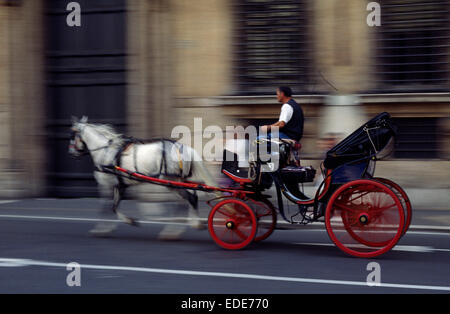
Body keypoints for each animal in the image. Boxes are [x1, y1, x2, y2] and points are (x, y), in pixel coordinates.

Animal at [67, 116, 219, 238]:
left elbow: (106, 208)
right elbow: (114, 207)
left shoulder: (105, 185)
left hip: (171, 181)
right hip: (178, 181)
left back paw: (187, 226)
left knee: (190, 198)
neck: (106, 152)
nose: (71, 152)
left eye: (72, 134)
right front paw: (125, 222)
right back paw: (176, 230)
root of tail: (182, 148)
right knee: (187, 200)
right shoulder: (119, 185)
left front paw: (101, 230)